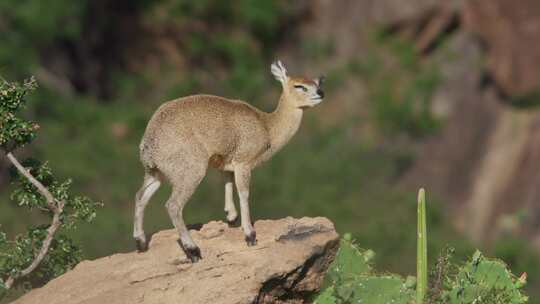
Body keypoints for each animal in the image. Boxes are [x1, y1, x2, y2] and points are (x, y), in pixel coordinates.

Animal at [132, 61, 324, 262]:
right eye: (299, 86)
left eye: (317, 82)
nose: (321, 93)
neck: (267, 126)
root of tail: (148, 143)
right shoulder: (244, 162)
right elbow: (244, 193)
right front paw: (250, 235)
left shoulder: (226, 163)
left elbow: (228, 183)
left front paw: (231, 217)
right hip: (191, 173)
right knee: (173, 205)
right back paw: (193, 250)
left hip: (155, 174)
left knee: (140, 196)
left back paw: (141, 243)